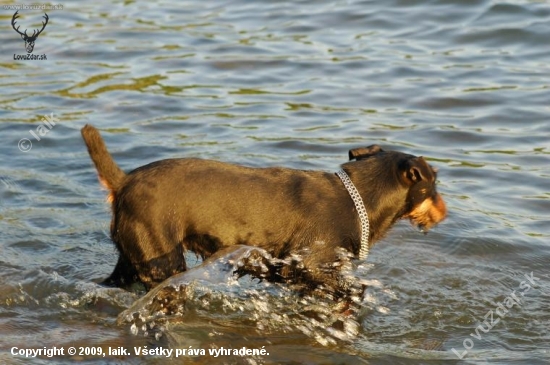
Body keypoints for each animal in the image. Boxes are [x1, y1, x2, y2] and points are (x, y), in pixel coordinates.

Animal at [82, 123, 448, 298]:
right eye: (435, 180)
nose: (445, 210)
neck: (358, 198)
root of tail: (123, 182)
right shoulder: (308, 266)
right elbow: (352, 290)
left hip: (130, 259)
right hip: (162, 261)